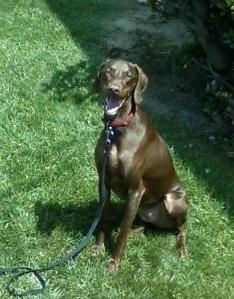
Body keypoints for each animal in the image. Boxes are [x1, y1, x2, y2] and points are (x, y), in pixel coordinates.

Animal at [92, 59, 187, 272]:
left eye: (129, 76)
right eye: (108, 71)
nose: (114, 89)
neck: (118, 129)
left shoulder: (135, 189)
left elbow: (122, 234)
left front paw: (114, 262)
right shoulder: (104, 182)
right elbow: (103, 218)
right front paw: (99, 247)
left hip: (173, 199)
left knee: (181, 228)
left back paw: (182, 250)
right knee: (146, 225)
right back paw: (136, 233)